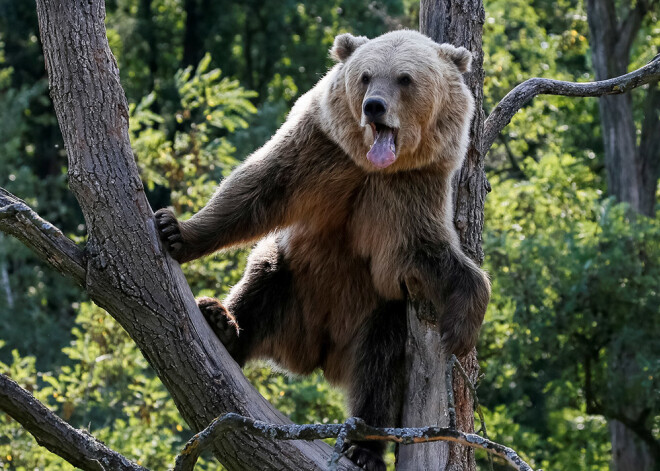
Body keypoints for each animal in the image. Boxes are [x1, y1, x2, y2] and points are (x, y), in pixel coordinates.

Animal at [157, 30, 490, 471]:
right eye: (366, 76)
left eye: (404, 78)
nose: (373, 106)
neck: (372, 167)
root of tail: (318, 352)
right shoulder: (319, 152)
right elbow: (254, 191)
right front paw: (176, 230)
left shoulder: (409, 192)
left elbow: (429, 254)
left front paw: (461, 327)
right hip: (292, 288)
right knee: (262, 281)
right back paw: (222, 322)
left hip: (376, 313)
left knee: (382, 364)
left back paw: (364, 446)